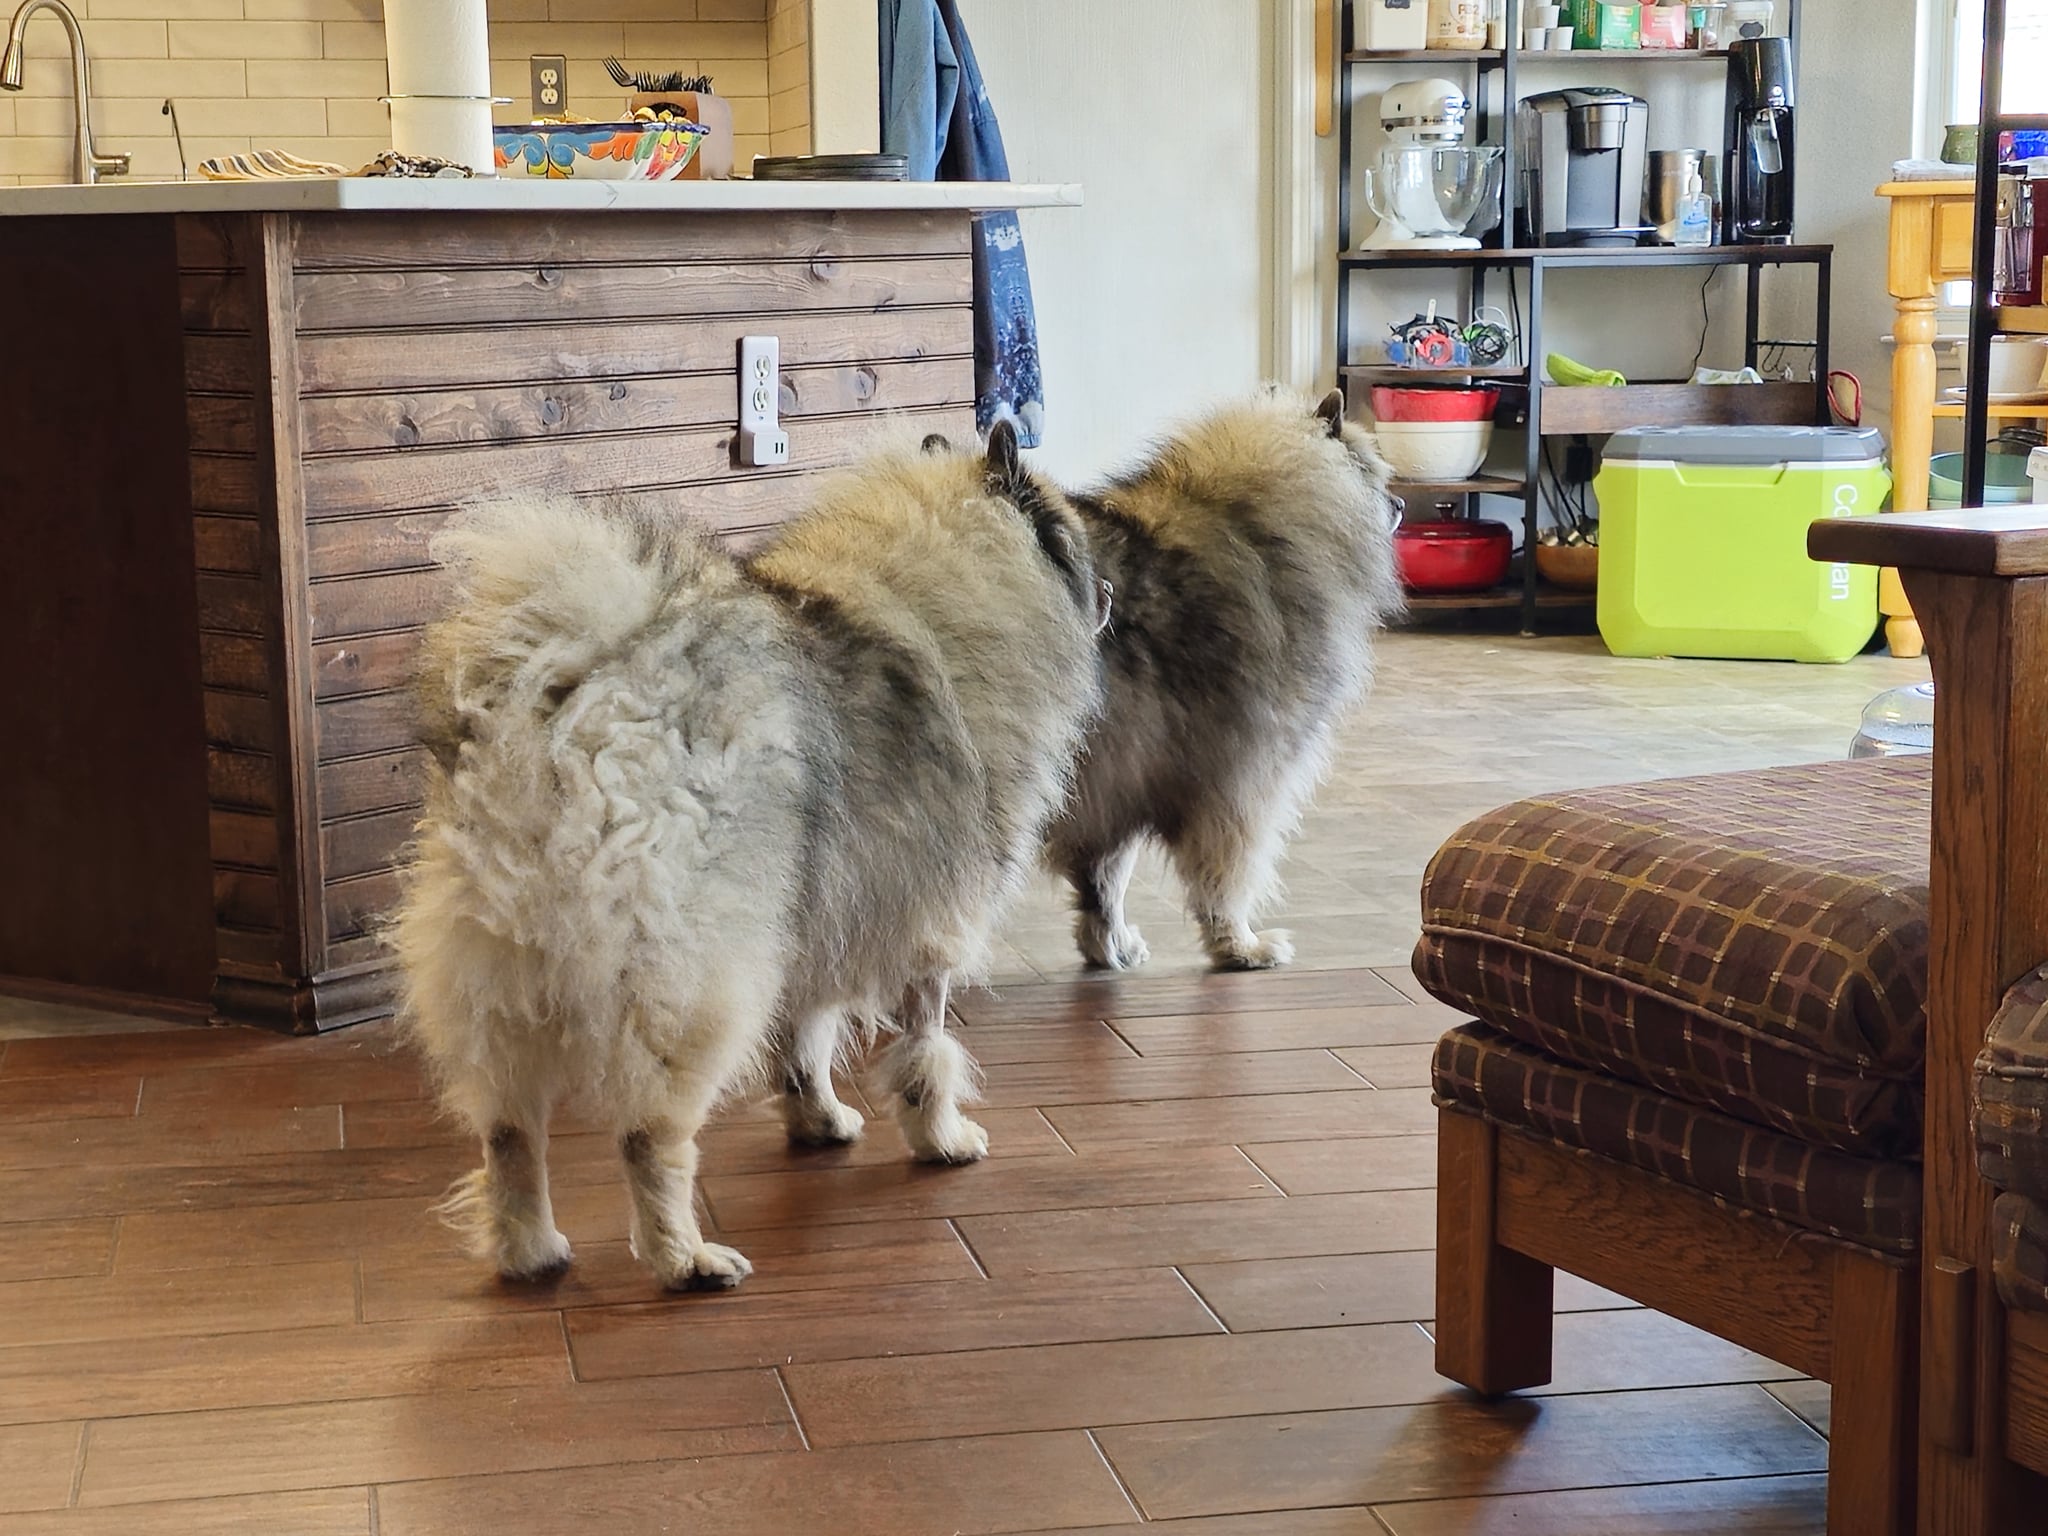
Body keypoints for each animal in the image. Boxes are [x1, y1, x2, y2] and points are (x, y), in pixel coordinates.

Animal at [389, 422, 1107, 1291]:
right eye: (1075, 538)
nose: (1111, 595)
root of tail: (576, 700)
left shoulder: (810, 921)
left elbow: (804, 1044)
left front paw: (819, 1122)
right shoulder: (933, 929)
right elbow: (927, 1050)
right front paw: (941, 1138)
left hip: (498, 982)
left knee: (509, 1134)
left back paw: (532, 1251)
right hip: (689, 975)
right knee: (649, 1135)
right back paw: (685, 1258)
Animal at [1043, 387, 1402, 971]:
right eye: (1375, 475)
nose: (1400, 506)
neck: (1255, 525)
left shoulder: (1116, 783)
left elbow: (1106, 877)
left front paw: (1110, 944)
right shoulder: (1240, 781)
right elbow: (1228, 872)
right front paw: (1240, 944)